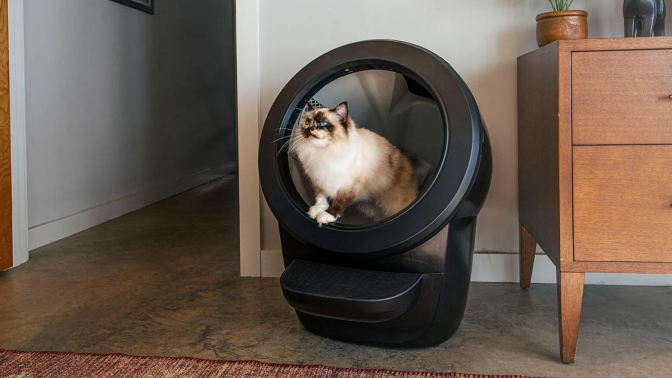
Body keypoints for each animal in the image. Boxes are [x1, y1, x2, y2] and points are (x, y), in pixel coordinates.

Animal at [288, 99, 418, 224]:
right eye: (307, 123)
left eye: (323, 123)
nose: (310, 129)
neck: (322, 152)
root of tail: (404, 156)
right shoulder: (319, 180)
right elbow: (321, 197)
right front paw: (317, 210)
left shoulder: (348, 187)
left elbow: (339, 203)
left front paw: (326, 215)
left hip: (394, 205)